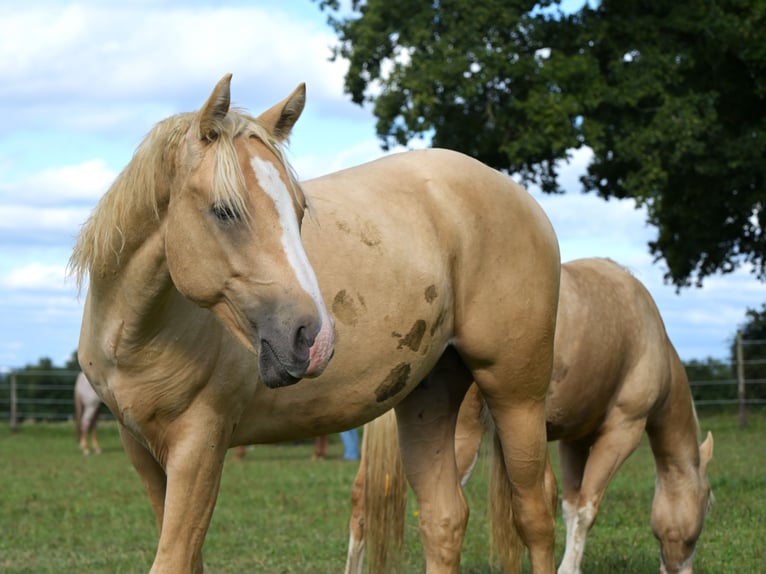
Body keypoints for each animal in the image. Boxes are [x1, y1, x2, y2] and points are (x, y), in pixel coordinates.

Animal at [70, 75, 564, 574]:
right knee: (443, 519)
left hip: (516, 396)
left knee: (536, 513)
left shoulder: (199, 446)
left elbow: (172, 559)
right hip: (429, 398)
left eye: (300, 210)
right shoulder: (143, 450)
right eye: (225, 210)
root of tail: (523, 200)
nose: (315, 338)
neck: (139, 337)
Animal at [352, 258, 716, 574]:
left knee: (362, 499)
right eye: (708, 502)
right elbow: (587, 508)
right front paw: (569, 568)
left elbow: (569, 506)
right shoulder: (622, 431)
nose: (682, 569)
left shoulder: (573, 439)